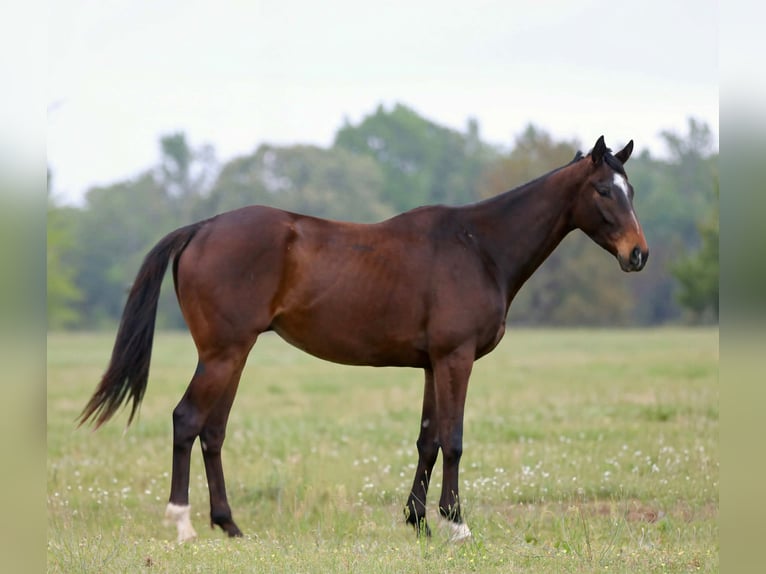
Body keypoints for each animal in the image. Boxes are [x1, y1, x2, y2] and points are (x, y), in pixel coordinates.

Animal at [79, 135, 648, 543]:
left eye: (632, 191)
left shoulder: (432, 364)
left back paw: (230, 525)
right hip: (222, 354)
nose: (638, 254)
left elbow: (428, 440)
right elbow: (454, 439)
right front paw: (456, 524)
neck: (479, 246)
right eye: (603, 191)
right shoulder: (456, 359)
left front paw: (418, 521)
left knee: (212, 431)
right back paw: (183, 524)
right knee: (187, 420)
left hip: (232, 357)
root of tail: (203, 227)